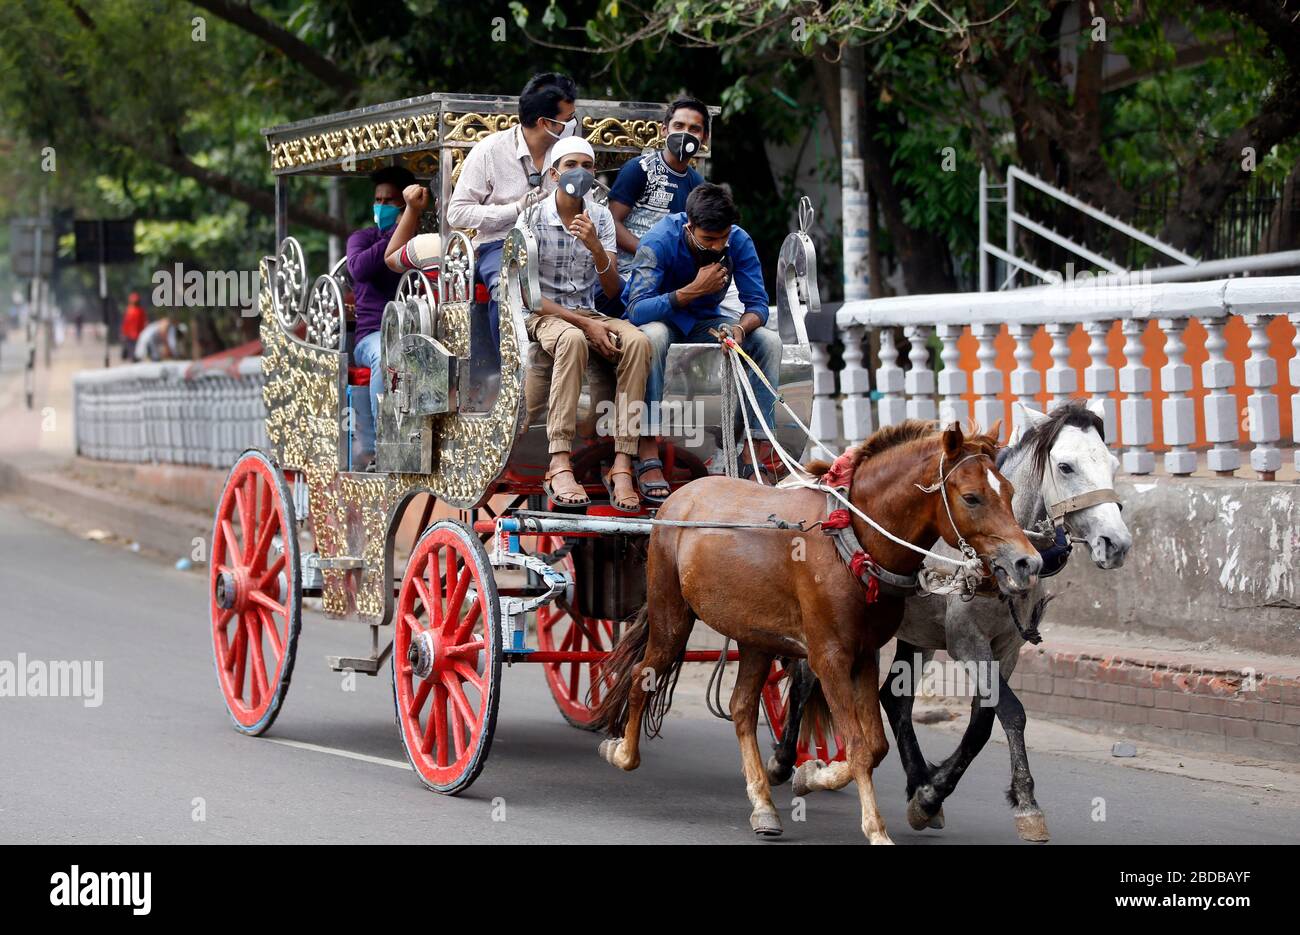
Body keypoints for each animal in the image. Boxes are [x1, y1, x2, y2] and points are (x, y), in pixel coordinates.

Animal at [595, 421, 1040, 842]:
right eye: (972, 497)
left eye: (1010, 491)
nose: (1028, 563)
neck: (852, 540)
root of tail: (680, 495)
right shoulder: (830, 657)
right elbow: (858, 745)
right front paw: (875, 828)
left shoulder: (864, 655)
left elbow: (874, 746)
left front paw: (812, 774)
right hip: (671, 614)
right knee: (642, 675)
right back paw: (622, 753)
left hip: (754, 635)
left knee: (741, 707)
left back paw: (764, 805)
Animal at [769, 397, 1128, 842]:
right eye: (1066, 466)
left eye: (1112, 464)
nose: (1116, 543)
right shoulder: (966, 641)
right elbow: (1010, 713)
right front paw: (1019, 802)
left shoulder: (1006, 648)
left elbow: (984, 720)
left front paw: (931, 793)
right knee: (804, 681)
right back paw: (785, 761)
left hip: (916, 636)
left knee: (894, 700)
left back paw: (914, 777)